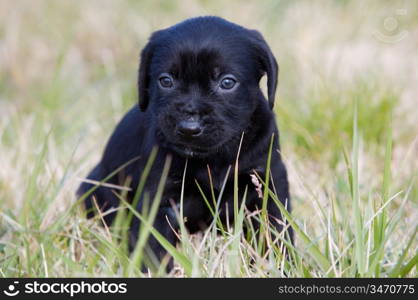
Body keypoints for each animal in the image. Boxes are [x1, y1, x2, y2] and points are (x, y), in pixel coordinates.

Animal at [79, 16, 294, 270]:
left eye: (227, 82)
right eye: (166, 81)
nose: (189, 128)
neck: (214, 159)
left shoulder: (268, 182)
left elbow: (278, 231)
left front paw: (284, 265)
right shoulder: (161, 197)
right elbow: (154, 246)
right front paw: (153, 272)